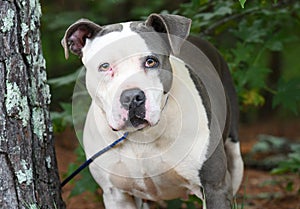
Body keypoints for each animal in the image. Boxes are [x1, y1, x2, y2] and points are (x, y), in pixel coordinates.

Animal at [61, 13, 244, 209]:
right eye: (104, 66)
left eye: (151, 61)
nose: (132, 97)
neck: (142, 137)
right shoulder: (116, 194)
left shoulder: (214, 187)